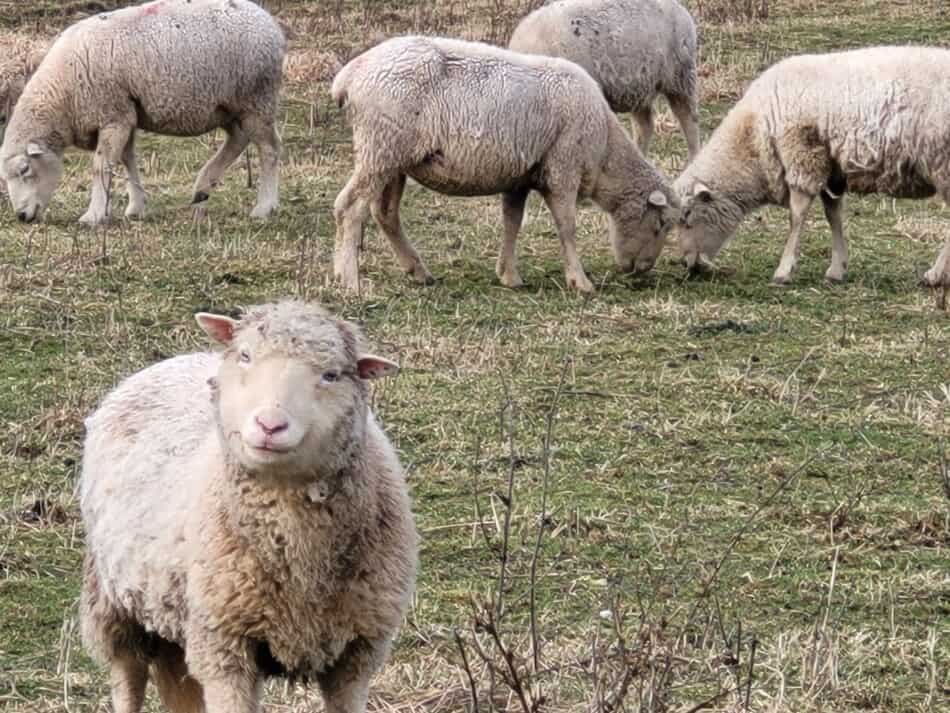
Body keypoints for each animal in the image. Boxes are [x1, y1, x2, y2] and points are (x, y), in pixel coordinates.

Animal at [0, 0, 286, 225]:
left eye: (25, 169)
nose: (21, 216)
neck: (63, 96)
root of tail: (271, 24)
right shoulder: (127, 115)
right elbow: (127, 160)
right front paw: (136, 206)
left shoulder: (113, 115)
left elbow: (101, 165)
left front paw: (93, 215)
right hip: (225, 106)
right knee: (238, 139)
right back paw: (203, 187)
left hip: (256, 99)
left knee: (269, 149)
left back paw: (264, 207)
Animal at [82, 300, 420, 712]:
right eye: (245, 356)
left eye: (331, 375)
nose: (269, 425)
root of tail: (175, 359)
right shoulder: (224, 646)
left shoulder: (357, 653)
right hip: (114, 602)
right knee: (126, 677)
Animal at [332, 34, 676, 292]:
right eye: (660, 225)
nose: (641, 271)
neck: (604, 149)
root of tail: (349, 75)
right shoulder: (563, 168)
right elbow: (567, 226)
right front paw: (580, 281)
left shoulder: (519, 176)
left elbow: (512, 222)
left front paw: (509, 276)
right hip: (380, 148)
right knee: (349, 207)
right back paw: (349, 280)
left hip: (394, 159)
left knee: (385, 213)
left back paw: (416, 271)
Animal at [510, 0, 704, 161]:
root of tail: (681, 10)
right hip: (639, 87)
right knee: (645, 126)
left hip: (681, 77)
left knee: (689, 120)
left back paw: (694, 160)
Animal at [676, 47, 950, 288]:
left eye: (687, 216)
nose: (688, 266)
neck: (752, 137)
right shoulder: (832, 170)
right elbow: (833, 214)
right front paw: (837, 268)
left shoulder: (803, 156)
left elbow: (796, 216)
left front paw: (784, 270)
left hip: (943, 164)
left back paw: (935, 275)